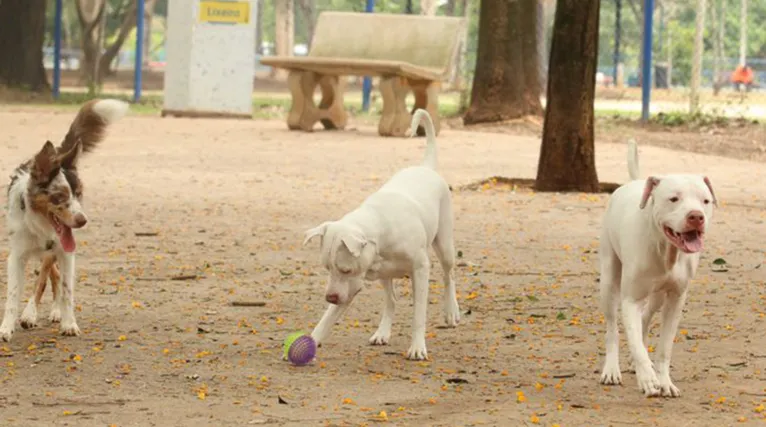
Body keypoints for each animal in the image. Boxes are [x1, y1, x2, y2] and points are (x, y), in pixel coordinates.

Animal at [0, 98, 129, 342]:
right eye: (59, 197)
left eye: (78, 193)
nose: (82, 221)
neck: (41, 226)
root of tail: (58, 154)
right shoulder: (17, 254)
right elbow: (12, 294)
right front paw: (6, 328)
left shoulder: (65, 252)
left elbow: (66, 288)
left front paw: (68, 322)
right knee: (51, 275)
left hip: (54, 251)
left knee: (49, 276)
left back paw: (42, 312)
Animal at [304, 108, 462, 362]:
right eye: (327, 268)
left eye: (345, 269)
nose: (330, 298)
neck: (379, 229)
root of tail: (426, 167)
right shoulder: (351, 286)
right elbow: (328, 317)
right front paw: (312, 339)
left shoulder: (420, 270)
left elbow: (419, 314)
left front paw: (417, 347)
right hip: (385, 276)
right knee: (392, 300)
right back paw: (382, 332)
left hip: (445, 245)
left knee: (449, 276)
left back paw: (451, 311)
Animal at [600, 140, 720, 398]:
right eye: (674, 199)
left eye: (705, 201)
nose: (696, 216)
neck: (666, 251)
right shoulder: (630, 299)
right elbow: (634, 341)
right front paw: (647, 378)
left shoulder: (676, 299)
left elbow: (664, 347)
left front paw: (664, 380)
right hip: (608, 280)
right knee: (613, 327)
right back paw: (612, 369)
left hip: (657, 295)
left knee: (645, 317)